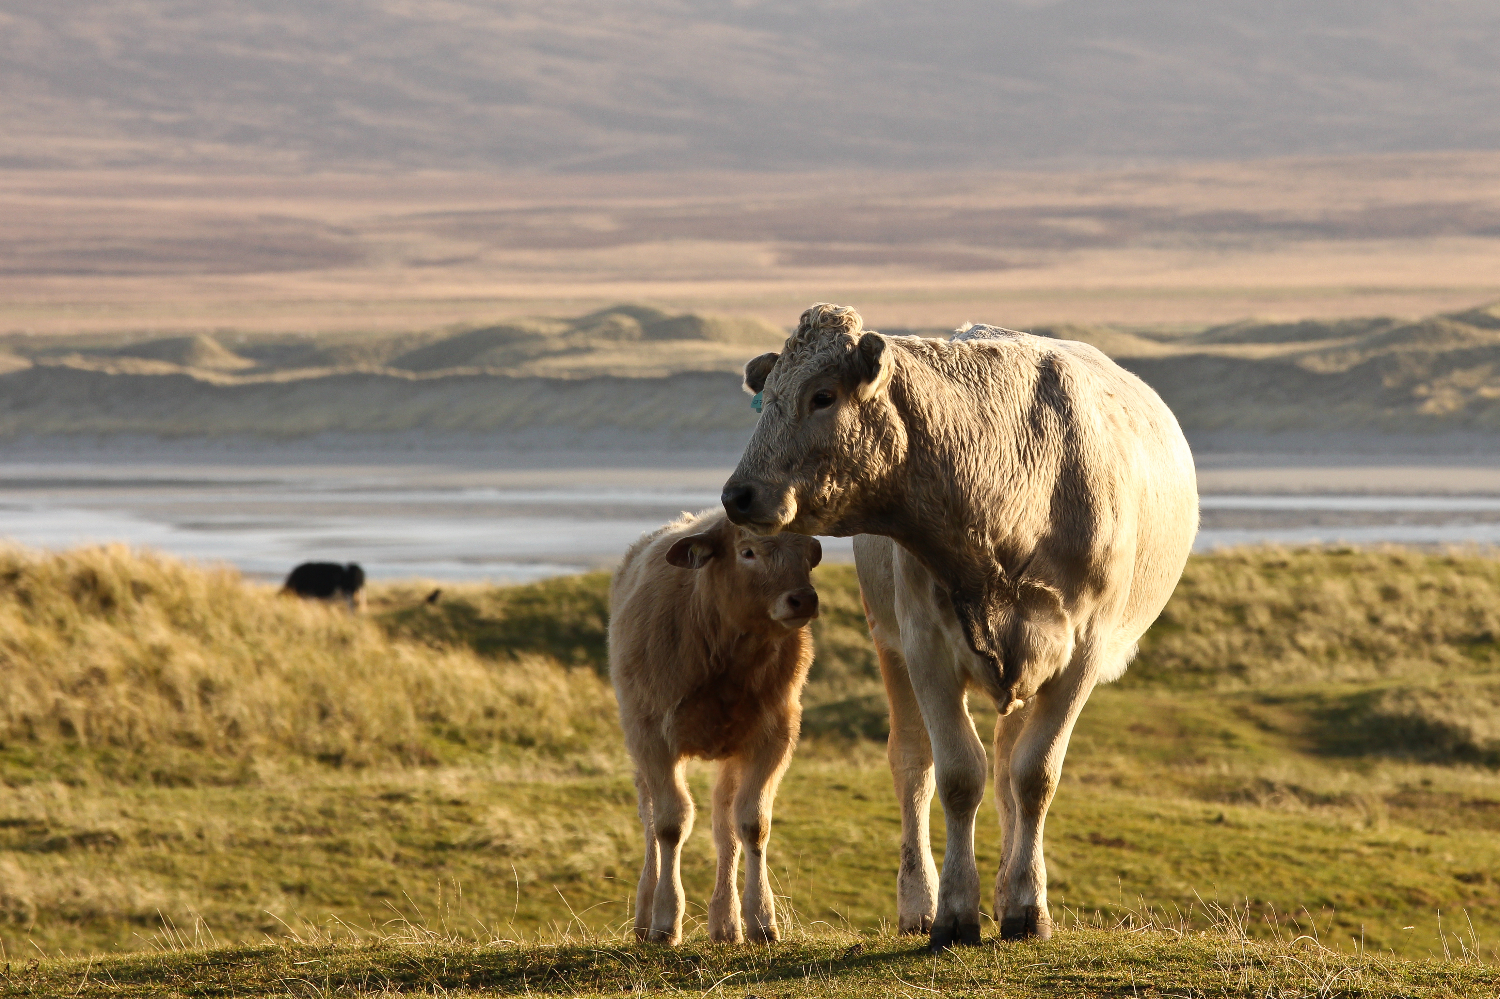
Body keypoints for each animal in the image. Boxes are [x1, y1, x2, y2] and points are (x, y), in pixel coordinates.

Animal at [610, 508, 822, 946]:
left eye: (809, 552)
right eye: (748, 551)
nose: (803, 599)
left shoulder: (773, 736)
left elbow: (753, 824)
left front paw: (761, 919)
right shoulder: (652, 738)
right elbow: (670, 823)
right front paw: (665, 920)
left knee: (725, 825)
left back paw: (725, 922)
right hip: (638, 741)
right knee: (650, 820)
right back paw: (645, 913)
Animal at [721, 303, 1197, 950]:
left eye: (822, 396)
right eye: (765, 397)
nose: (738, 494)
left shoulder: (1082, 652)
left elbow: (1033, 776)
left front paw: (1025, 906)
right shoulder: (925, 645)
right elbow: (956, 775)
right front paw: (953, 911)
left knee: (1010, 768)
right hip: (890, 643)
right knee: (912, 765)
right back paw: (918, 902)